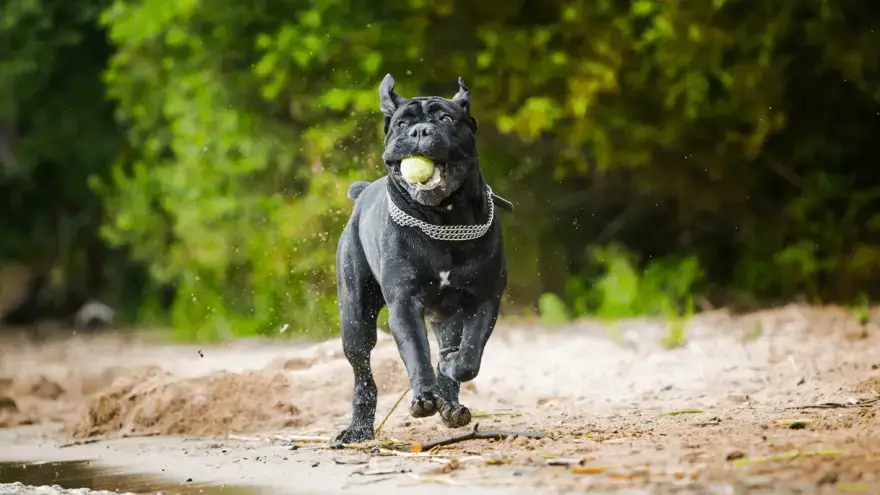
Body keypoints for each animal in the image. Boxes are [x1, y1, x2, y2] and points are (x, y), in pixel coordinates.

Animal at [330, 74, 508, 446]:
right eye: (402, 123)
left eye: (446, 119)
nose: (420, 131)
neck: (443, 221)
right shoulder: (404, 302)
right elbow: (416, 351)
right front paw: (424, 396)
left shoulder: (484, 299)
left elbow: (469, 355)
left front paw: (450, 369)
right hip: (355, 319)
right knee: (363, 374)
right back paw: (358, 429)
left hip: (446, 318)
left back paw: (451, 405)